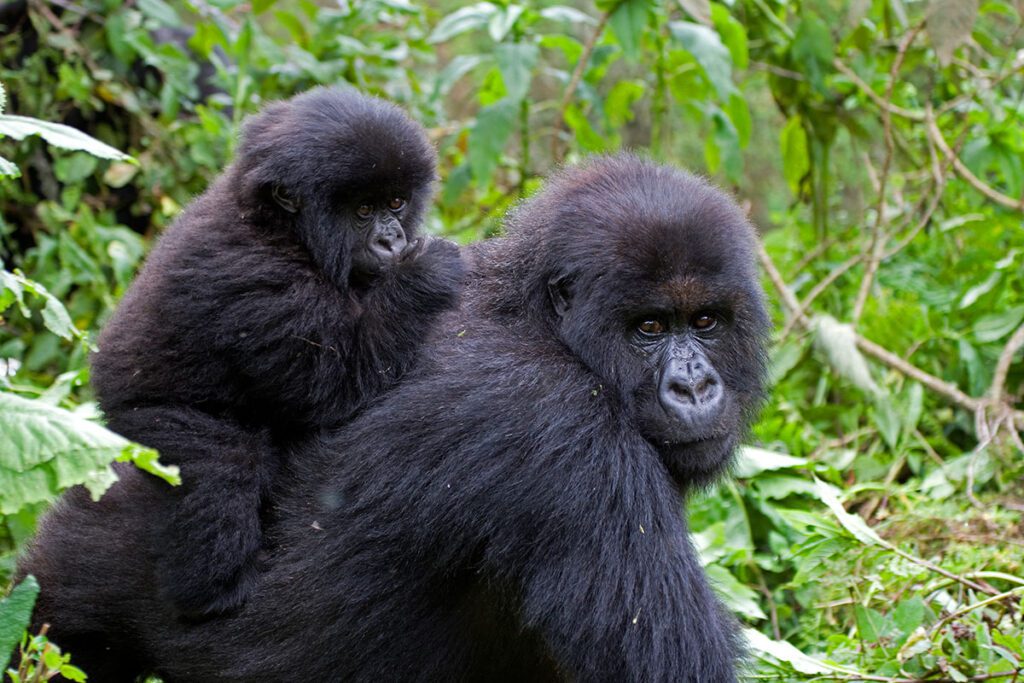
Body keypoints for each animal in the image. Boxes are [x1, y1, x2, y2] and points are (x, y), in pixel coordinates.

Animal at [88, 87, 464, 618]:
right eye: (363, 210)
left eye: (396, 202)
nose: (392, 240)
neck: (277, 227)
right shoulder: (258, 278)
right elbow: (333, 384)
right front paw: (425, 274)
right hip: (144, 423)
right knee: (221, 465)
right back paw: (214, 589)